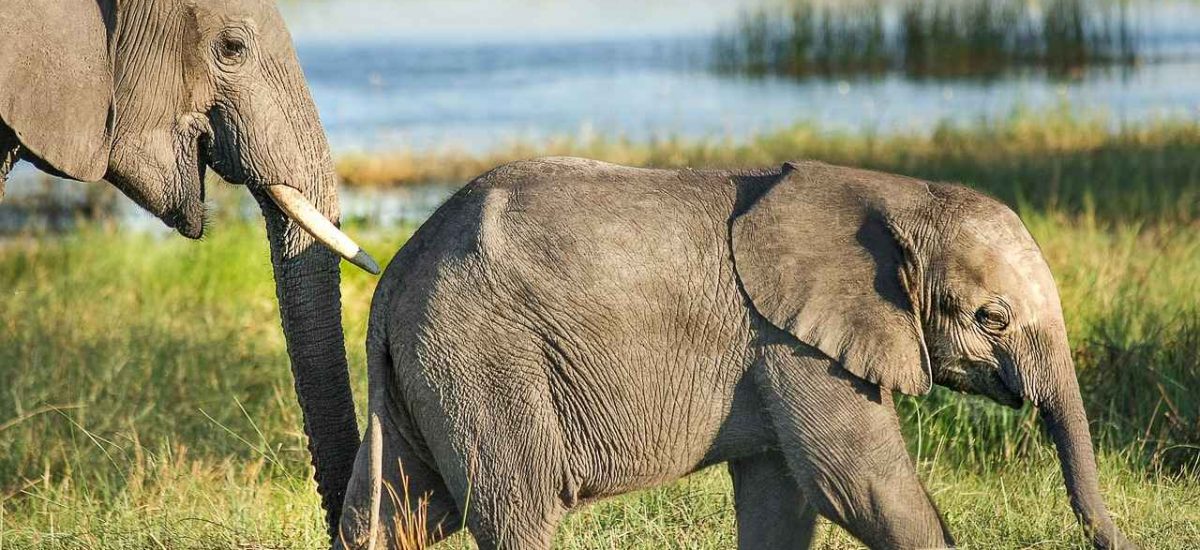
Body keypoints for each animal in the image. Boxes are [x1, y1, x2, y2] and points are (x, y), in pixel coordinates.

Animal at [338, 157, 1132, 547]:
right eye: (993, 319)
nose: (1115, 539)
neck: (892, 192)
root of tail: (395, 273)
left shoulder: (783, 351)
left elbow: (784, 499)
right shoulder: (792, 342)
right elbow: (860, 485)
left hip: (429, 366)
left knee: (393, 512)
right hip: (484, 363)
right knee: (517, 516)